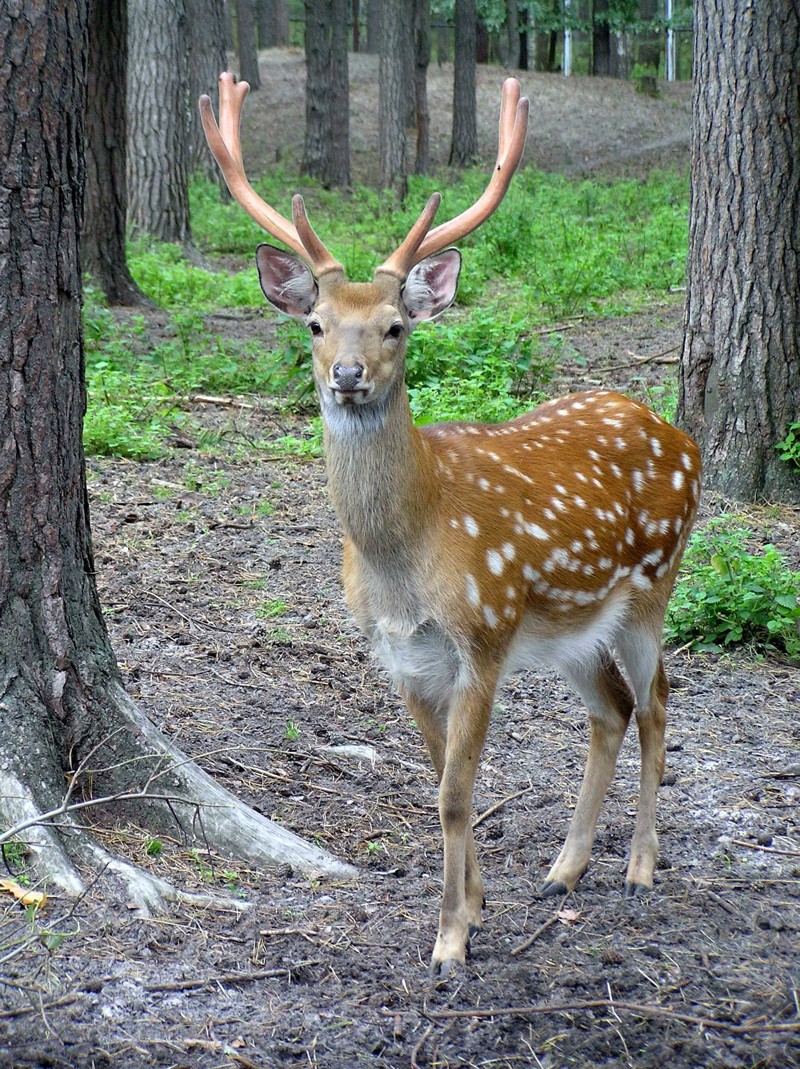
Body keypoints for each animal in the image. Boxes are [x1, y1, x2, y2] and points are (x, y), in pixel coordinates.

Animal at [198, 73, 701, 979]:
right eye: (316, 323)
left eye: (395, 325)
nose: (349, 375)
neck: (405, 558)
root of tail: (682, 434)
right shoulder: (402, 656)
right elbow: (437, 782)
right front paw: (475, 902)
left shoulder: (483, 637)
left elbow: (458, 791)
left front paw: (449, 941)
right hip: (569, 626)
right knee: (609, 709)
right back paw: (563, 867)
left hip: (653, 582)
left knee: (655, 703)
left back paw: (640, 865)